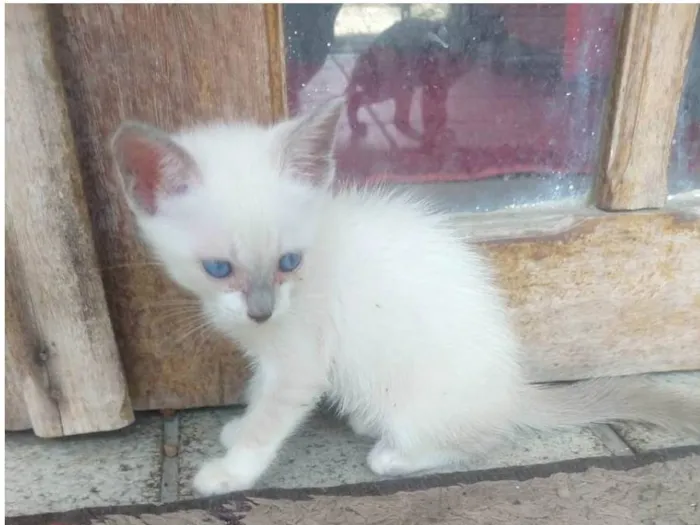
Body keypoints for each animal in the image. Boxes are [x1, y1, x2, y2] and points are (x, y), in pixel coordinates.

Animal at [110, 99, 700, 496]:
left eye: (289, 262)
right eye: (218, 269)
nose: (261, 310)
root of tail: (512, 391)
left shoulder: (300, 361)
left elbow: (270, 420)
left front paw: (230, 471)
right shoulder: (269, 351)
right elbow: (257, 394)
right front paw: (235, 431)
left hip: (424, 407)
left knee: (475, 441)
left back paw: (391, 455)